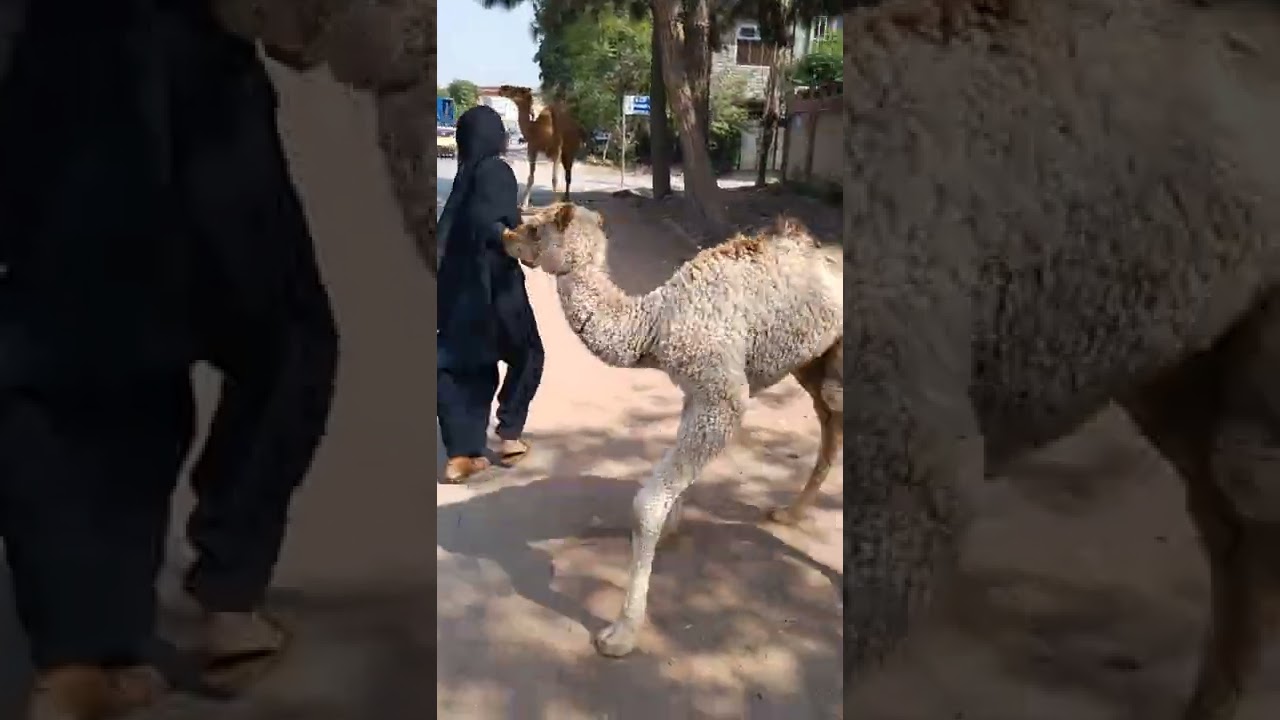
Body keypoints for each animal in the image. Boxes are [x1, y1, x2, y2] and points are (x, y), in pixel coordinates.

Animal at [502, 203, 844, 658]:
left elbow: (645, 503)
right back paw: (789, 513)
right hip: (815, 362)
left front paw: (622, 632)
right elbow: (672, 484)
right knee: (829, 422)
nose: (505, 236)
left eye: (536, 228)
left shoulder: (723, 397)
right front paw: (673, 527)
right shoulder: (694, 393)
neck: (654, 327)